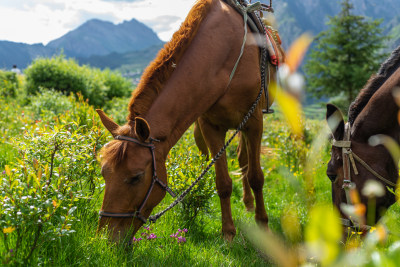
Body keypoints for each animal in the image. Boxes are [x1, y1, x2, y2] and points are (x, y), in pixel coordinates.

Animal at [96, 0, 284, 243]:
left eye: (136, 177)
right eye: (104, 173)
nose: (105, 239)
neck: (224, 56)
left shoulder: (254, 121)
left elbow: (256, 177)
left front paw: (263, 226)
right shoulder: (209, 126)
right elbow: (222, 182)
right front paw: (228, 232)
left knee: (246, 161)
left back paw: (251, 205)